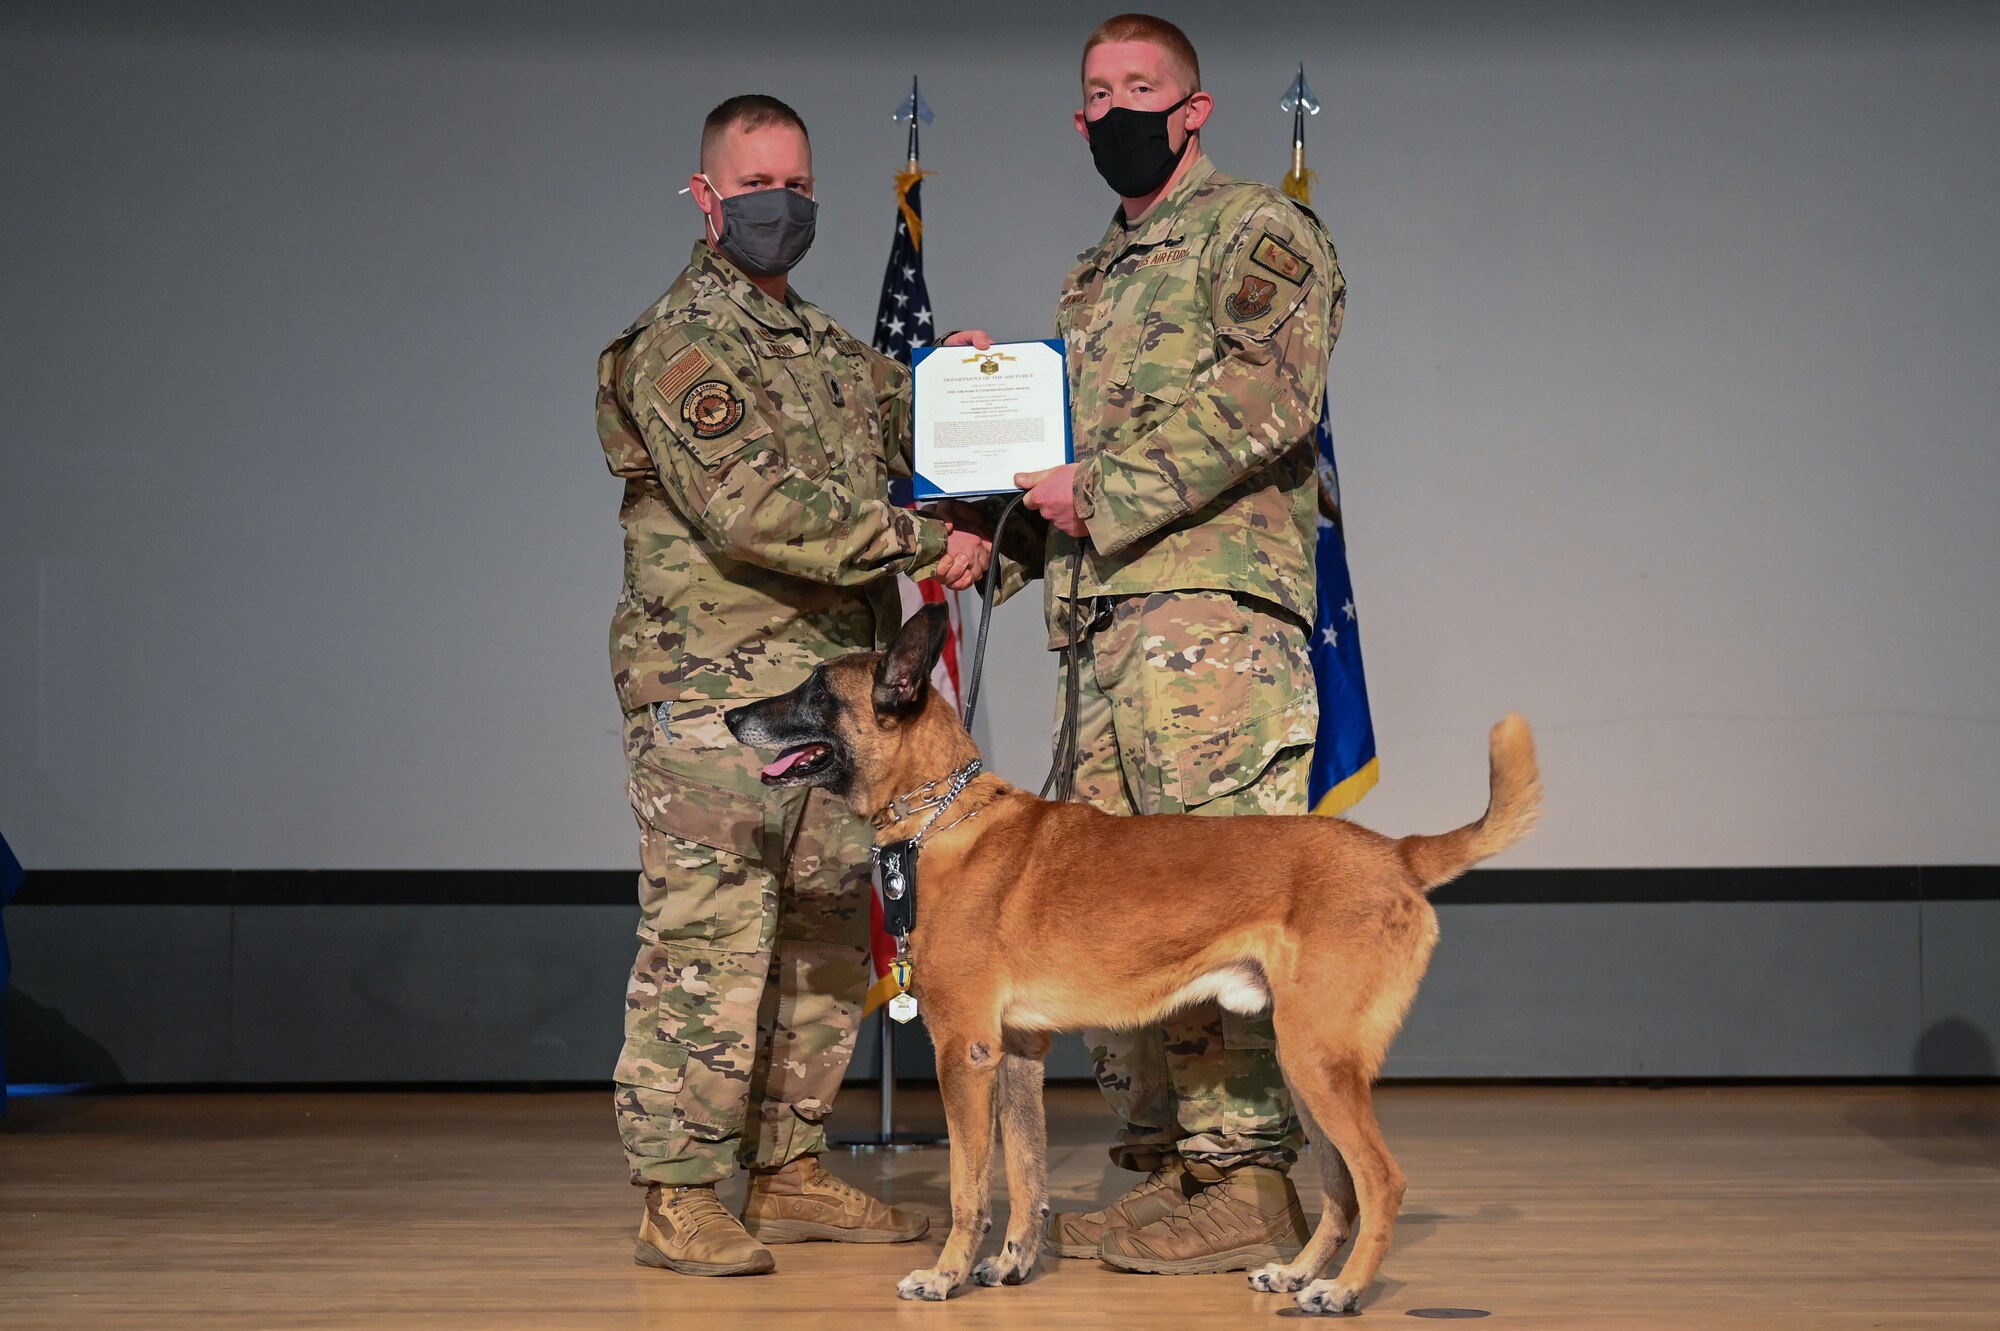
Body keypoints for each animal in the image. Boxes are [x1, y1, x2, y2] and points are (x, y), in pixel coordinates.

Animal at [728, 599, 1536, 1303]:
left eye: (815, 689)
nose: (732, 716)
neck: (942, 817)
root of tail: (1396, 852)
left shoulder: (965, 1051)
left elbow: (968, 1186)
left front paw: (945, 1276)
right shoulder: (1017, 1052)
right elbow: (1026, 1176)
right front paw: (1013, 1264)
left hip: (1319, 1060)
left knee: (1380, 1181)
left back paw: (1342, 1291)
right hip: (1306, 1064)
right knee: (1341, 1190)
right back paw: (1300, 1272)